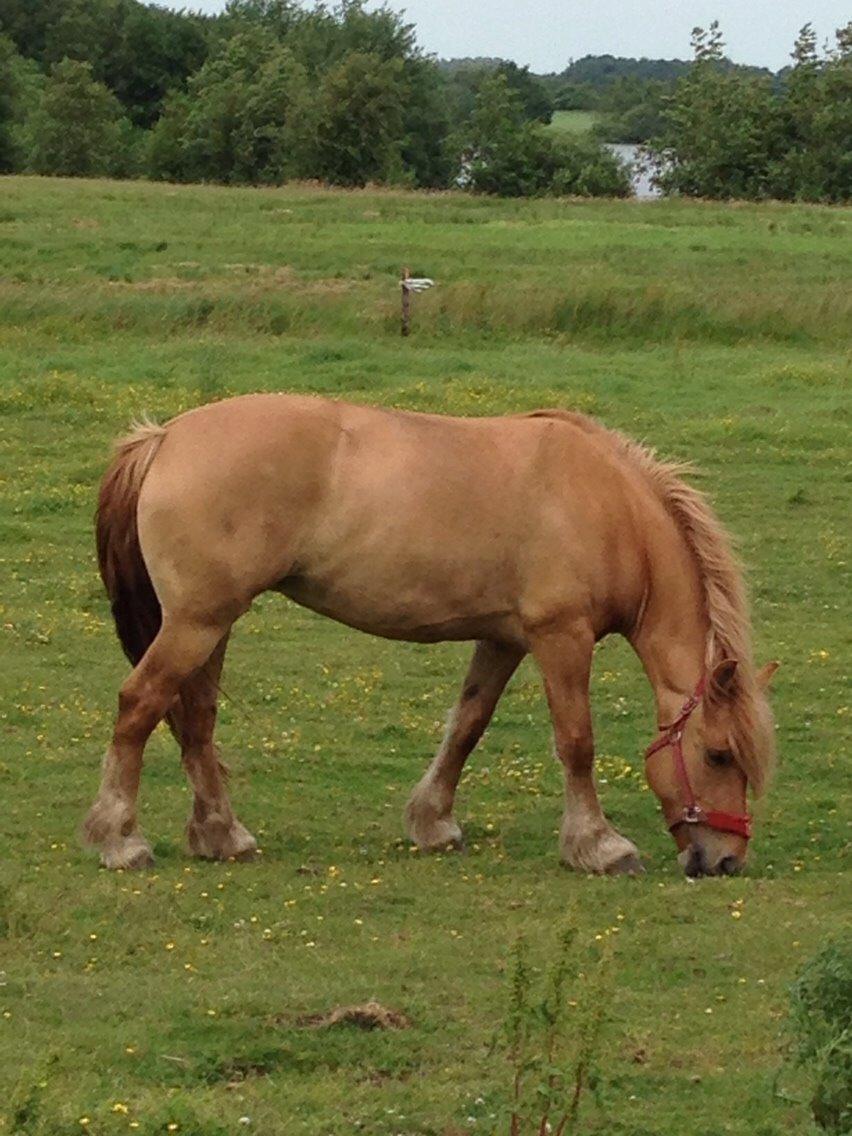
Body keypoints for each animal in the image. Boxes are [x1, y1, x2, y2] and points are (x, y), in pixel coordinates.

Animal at [81, 397, 781, 876]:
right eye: (719, 755)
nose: (726, 860)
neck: (608, 507)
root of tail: (164, 437)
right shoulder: (562, 636)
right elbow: (577, 742)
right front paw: (598, 844)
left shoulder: (505, 639)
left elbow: (467, 725)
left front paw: (432, 822)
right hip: (197, 623)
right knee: (139, 705)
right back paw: (120, 838)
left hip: (211, 625)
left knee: (196, 721)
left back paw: (223, 834)